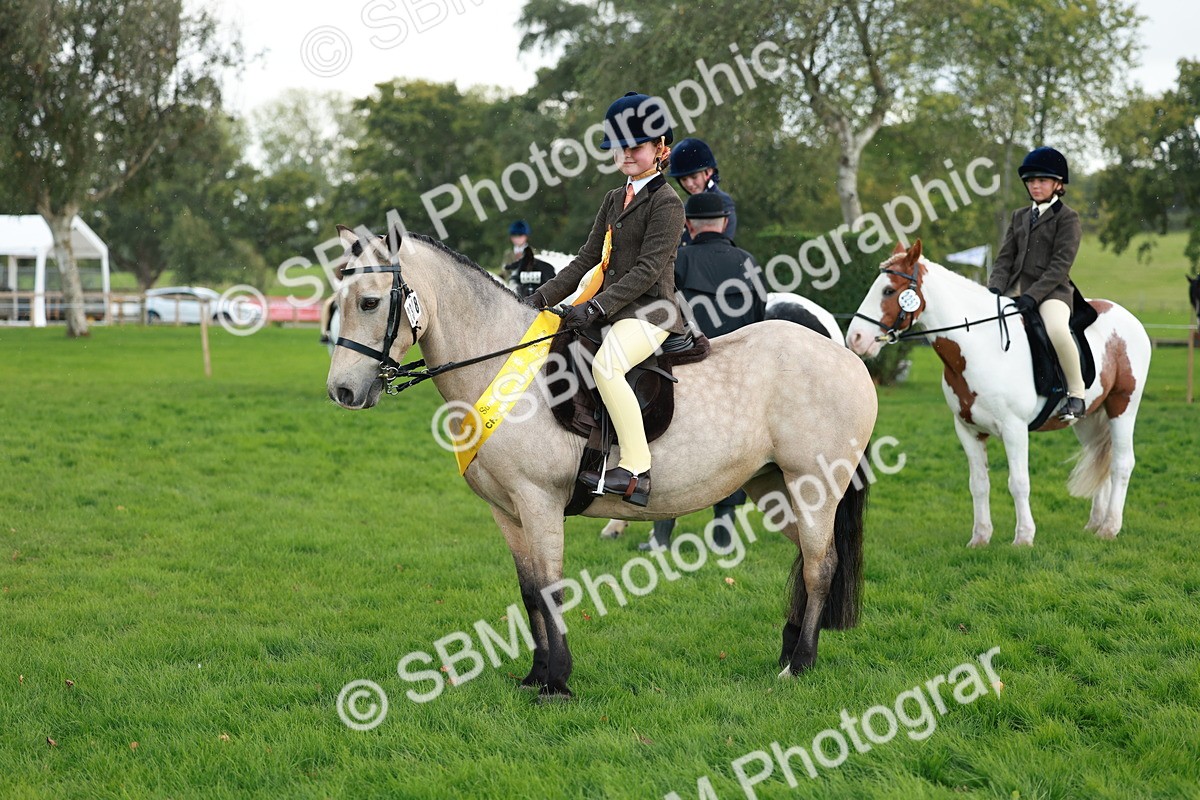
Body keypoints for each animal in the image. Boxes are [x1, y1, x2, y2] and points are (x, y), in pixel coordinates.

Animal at [846, 240, 1151, 547]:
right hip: (1088, 418)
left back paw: (1109, 528)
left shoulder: (1014, 429)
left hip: (1122, 407)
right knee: (1101, 457)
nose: (855, 339)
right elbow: (979, 484)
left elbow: (1018, 483)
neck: (979, 346)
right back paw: (1095, 524)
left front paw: (1024, 537)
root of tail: (1128, 318)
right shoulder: (968, 431)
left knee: (1122, 463)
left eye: (889, 290)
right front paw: (980, 537)